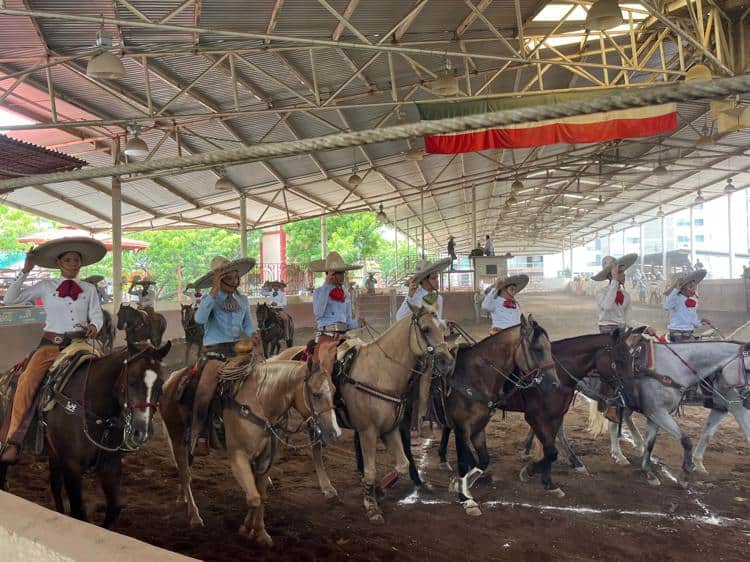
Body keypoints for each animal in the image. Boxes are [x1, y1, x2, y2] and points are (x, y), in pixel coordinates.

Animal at [0, 340, 172, 528]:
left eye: (161, 384)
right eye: (132, 381)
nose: (141, 432)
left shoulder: (110, 464)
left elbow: (114, 507)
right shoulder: (72, 466)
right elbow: (78, 511)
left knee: (55, 485)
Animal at [160, 350, 340, 544]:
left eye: (334, 390)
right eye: (316, 394)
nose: (335, 433)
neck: (259, 403)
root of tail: (172, 380)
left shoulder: (264, 459)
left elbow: (261, 495)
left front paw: (260, 532)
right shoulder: (238, 456)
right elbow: (253, 498)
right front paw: (247, 529)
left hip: (189, 443)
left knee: (185, 471)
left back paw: (183, 498)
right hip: (176, 437)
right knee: (186, 475)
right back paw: (194, 516)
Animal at [314, 302, 456, 520]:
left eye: (442, 328)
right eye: (425, 329)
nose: (448, 363)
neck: (380, 373)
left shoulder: (391, 428)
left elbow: (402, 464)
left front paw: (378, 490)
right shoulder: (368, 431)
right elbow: (371, 470)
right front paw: (371, 505)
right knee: (315, 450)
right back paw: (327, 487)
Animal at [588, 336, 750, 486]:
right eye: (747, 369)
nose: (748, 398)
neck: (674, 368)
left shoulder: (722, 408)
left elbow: (705, 436)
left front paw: (697, 465)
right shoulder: (658, 413)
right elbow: (686, 440)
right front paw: (685, 474)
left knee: (618, 421)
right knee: (614, 424)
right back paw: (620, 456)